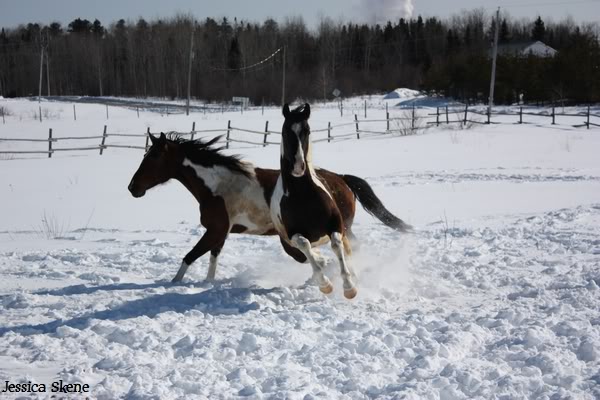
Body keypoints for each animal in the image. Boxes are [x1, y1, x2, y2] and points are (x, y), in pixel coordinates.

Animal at [126, 132, 408, 284]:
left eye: (153, 156)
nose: (132, 188)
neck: (217, 185)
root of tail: (341, 179)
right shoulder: (220, 232)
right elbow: (212, 257)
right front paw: (208, 282)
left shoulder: (215, 230)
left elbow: (191, 255)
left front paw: (173, 283)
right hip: (341, 228)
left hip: (334, 227)